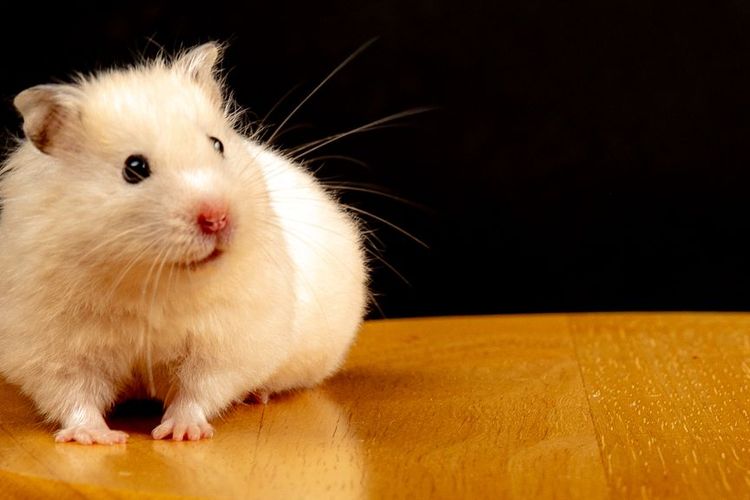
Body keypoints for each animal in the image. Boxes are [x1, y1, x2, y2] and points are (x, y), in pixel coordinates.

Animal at [0, 43, 368, 444]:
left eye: (217, 144)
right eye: (134, 168)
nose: (218, 218)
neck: (152, 280)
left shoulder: (224, 341)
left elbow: (199, 390)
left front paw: (180, 433)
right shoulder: (55, 348)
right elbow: (73, 395)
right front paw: (97, 437)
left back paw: (258, 394)